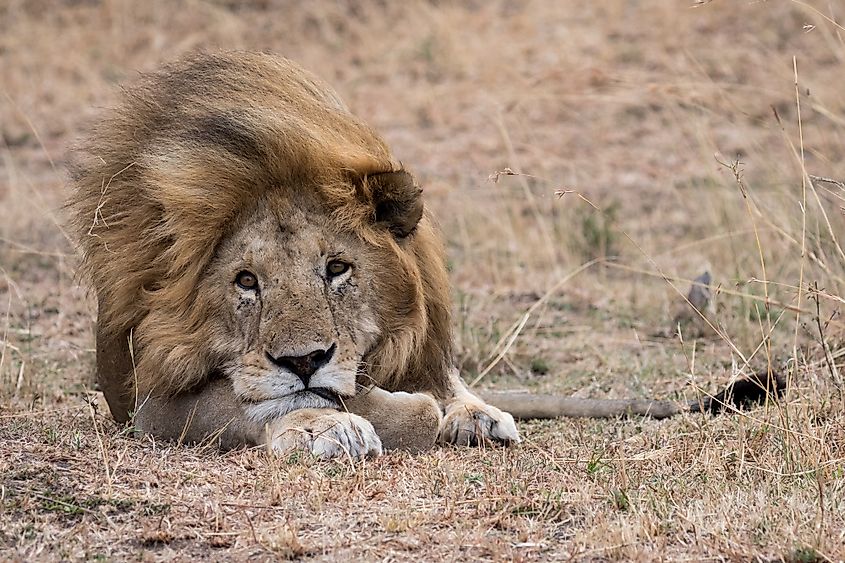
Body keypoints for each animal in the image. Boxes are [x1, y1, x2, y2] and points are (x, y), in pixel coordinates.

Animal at [67, 50, 784, 460]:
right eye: (246, 282)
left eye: (337, 269)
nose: (304, 360)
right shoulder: (152, 404)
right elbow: (254, 402)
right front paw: (329, 423)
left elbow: (432, 384)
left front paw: (463, 413)